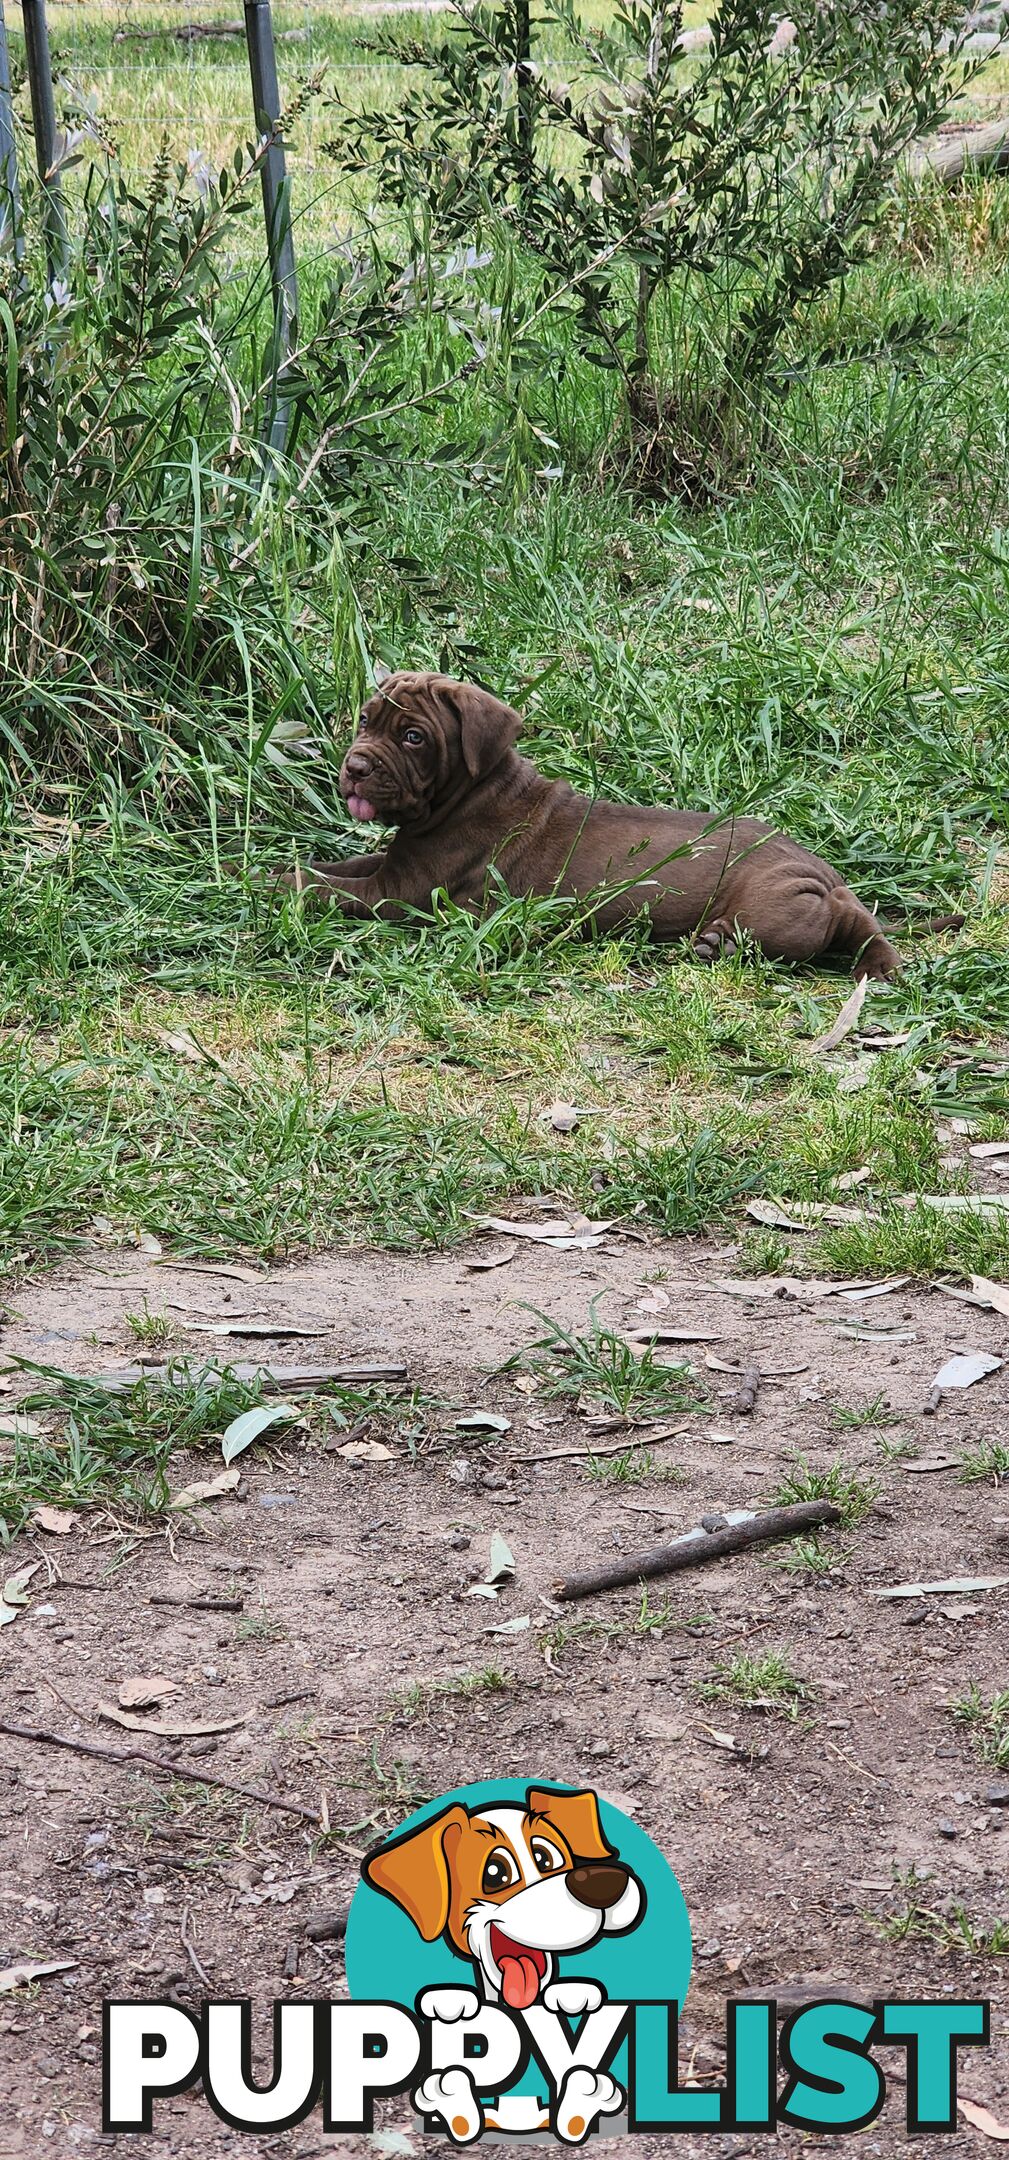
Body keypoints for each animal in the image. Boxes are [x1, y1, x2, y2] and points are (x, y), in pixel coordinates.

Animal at [291, 673, 898, 980]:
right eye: (365, 720)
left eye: (413, 737)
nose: (355, 767)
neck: (470, 791)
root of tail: (825, 873)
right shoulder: (396, 862)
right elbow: (339, 865)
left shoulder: (403, 891)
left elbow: (326, 886)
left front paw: (277, 883)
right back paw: (714, 945)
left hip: (775, 908)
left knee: (834, 926)